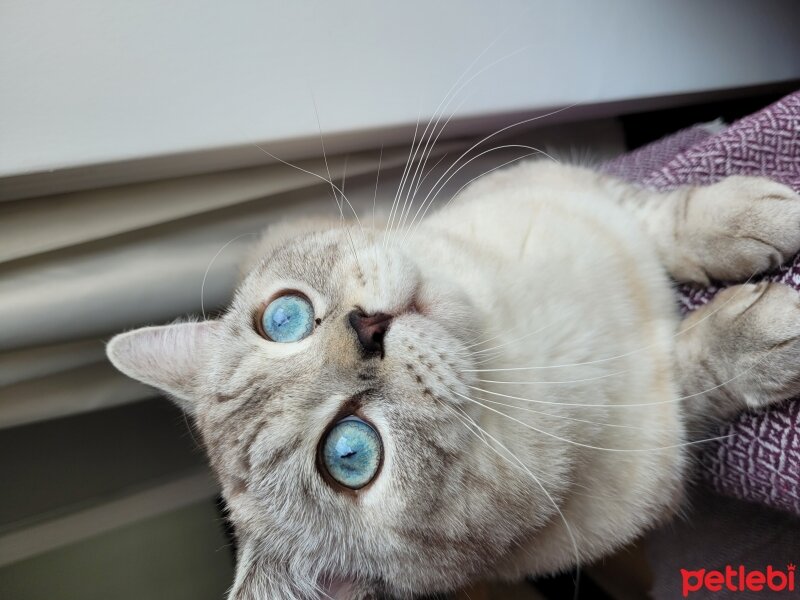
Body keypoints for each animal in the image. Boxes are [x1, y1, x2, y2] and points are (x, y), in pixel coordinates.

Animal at [109, 161, 800, 600]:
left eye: (284, 318)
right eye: (350, 454)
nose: (369, 328)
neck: (518, 335)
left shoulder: (573, 187)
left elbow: (667, 216)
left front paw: (761, 216)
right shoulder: (665, 423)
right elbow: (697, 363)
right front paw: (769, 332)